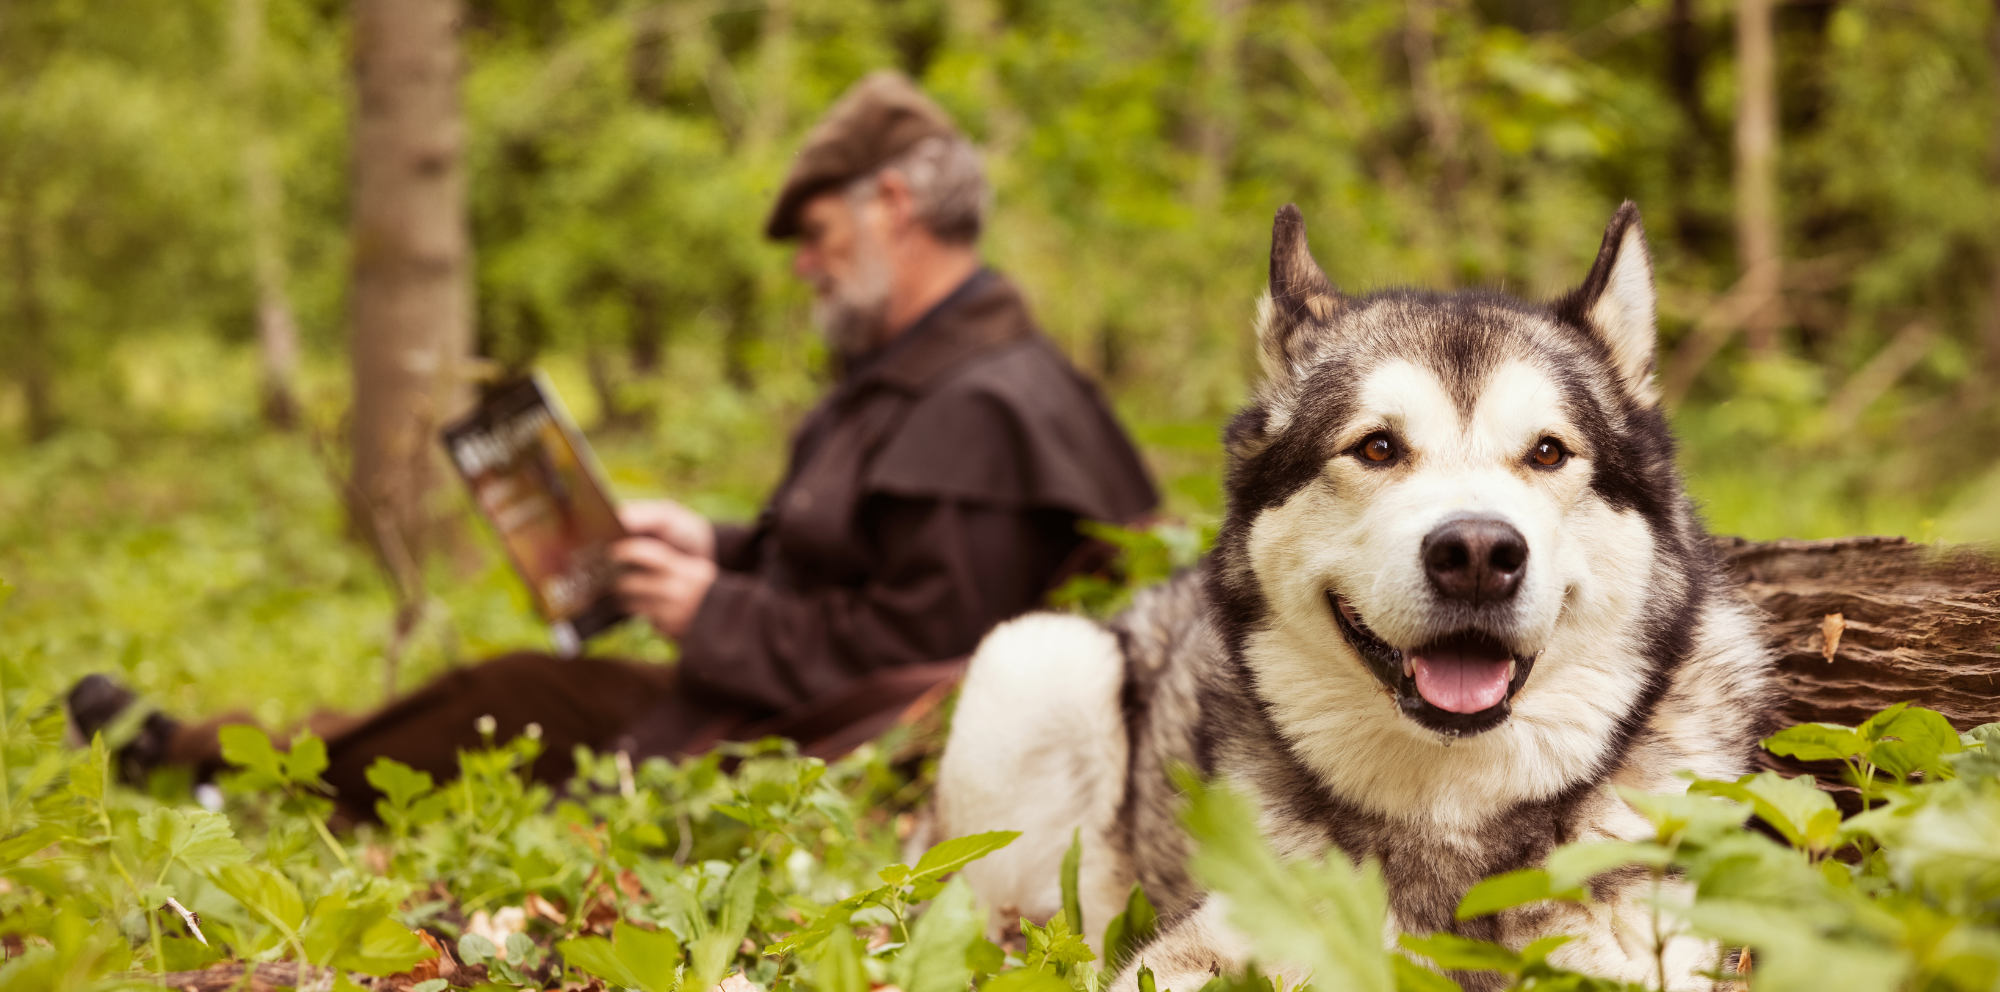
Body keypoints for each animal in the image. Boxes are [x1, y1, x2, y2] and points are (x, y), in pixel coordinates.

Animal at [936, 203, 1784, 992]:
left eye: (1547, 452)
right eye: (1377, 447)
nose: (1478, 555)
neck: (1449, 803)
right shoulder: (1202, 949)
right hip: (1037, 659)